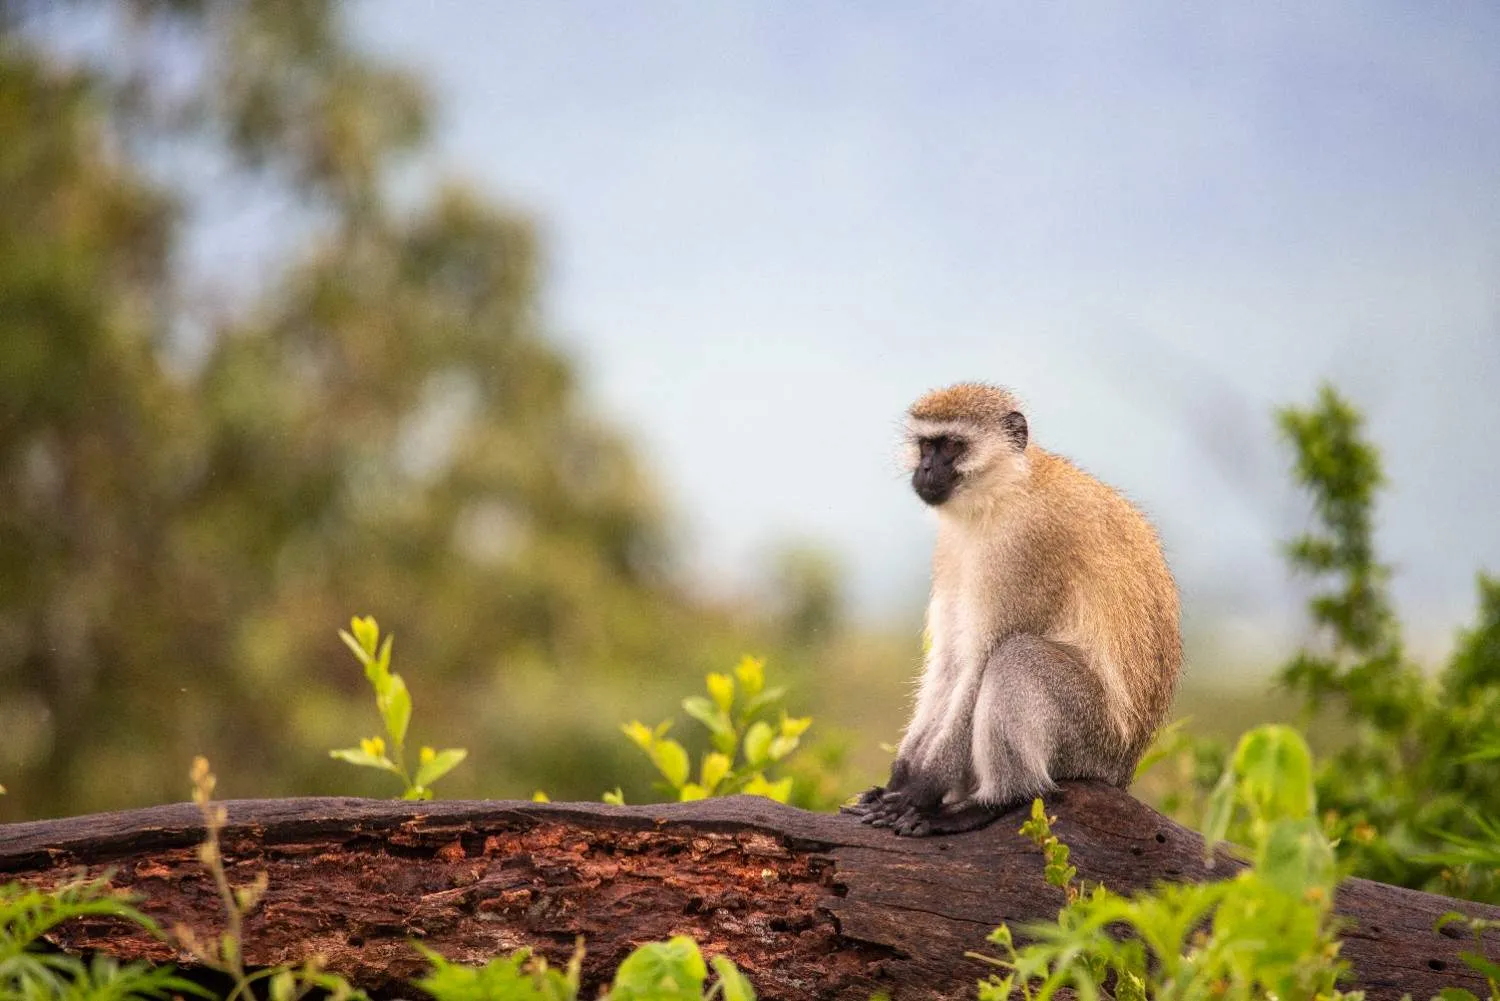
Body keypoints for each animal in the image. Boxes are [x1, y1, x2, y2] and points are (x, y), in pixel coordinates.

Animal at [843, 383, 1181, 836]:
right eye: (927, 445)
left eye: (953, 445)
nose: (926, 469)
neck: (1003, 493)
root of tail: (1122, 771)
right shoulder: (952, 549)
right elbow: (950, 664)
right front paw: (898, 781)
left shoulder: (1024, 545)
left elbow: (979, 663)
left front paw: (921, 792)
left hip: (1088, 741)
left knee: (1017, 657)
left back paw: (995, 801)